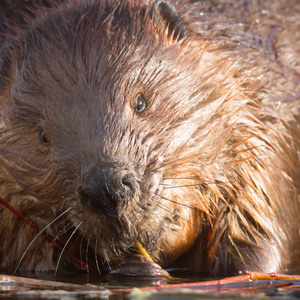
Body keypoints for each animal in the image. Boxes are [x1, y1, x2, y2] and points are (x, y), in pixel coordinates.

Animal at [0, 0, 298, 276]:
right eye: (43, 136)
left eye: (140, 101)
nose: (106, 188)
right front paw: (136, 265)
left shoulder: (258, 135)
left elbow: (255, 241)